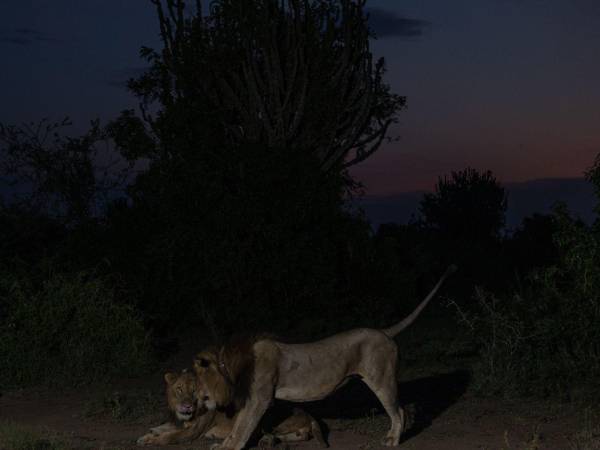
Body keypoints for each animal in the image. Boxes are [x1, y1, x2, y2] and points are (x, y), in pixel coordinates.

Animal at [137, 370, 328, 446]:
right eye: (179, 389)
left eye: (194, 390)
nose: (187, 405)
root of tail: (308, 414)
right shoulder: (181, 423)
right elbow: (164, 427)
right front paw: (148, 434)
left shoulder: (192, 432)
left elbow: (169, 436)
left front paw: (151, 440)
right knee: (297, 436)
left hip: (265, 413)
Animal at [190, 266, 458, 448]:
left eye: (197, 382)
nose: (194, 402)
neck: (231, 365)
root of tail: (384, 331)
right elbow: (238, 427)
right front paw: (223, 443)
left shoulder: (259, 399)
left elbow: (243, 427)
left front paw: (229, 447)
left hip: (382, 380)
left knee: (399, 411)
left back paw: (392, 439)